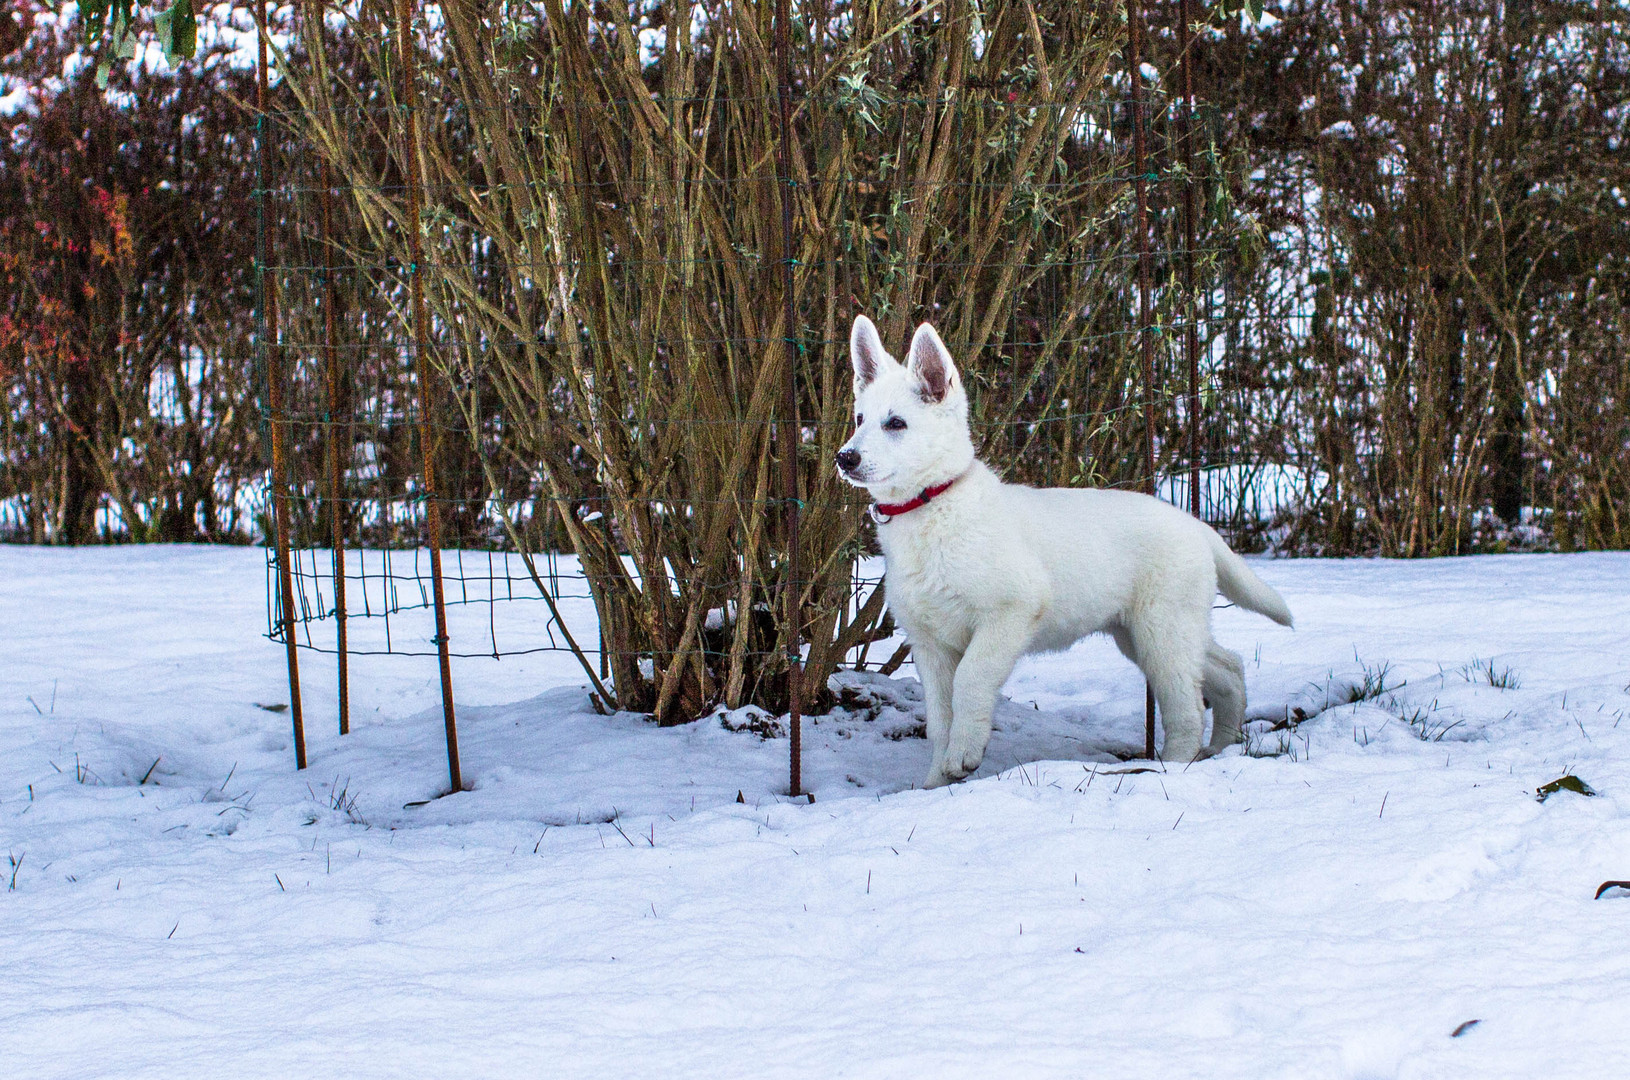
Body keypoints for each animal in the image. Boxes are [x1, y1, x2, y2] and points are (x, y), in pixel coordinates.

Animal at [834, 317, 1290, 791]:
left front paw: (964, 755)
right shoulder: (930, 644)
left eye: (897, 424)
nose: (844, 458)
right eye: (860, 419)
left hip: (1162, 631)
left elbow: (971, 682)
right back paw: (1221, 746)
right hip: (1146, 631)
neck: (933, 506)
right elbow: (941, 717)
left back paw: (1173, 765)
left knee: (1187, 703)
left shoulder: (1010, 613)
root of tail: (1195, 524)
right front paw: (936, 782)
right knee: (1227, 667)